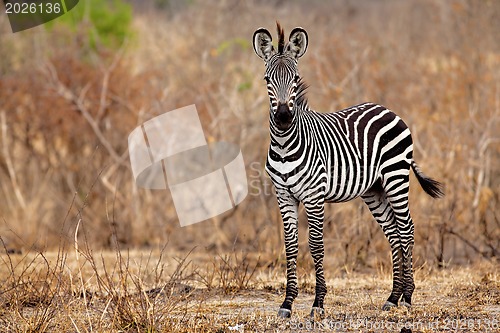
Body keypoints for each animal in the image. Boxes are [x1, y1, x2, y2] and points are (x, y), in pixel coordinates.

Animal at [252, 22, 444, 318]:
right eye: (267, 80)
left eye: (295, 79)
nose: (283, 118)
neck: (285, 145)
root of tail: (387, 109)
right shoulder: (283, 196)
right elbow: (290, 246)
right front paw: (287, 303)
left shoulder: (314, 196)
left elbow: (316, 246)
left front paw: (318, 303)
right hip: (374, 189)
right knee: (393, 233)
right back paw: (393, 297)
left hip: (396, 177)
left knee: (406, 229)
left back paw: (408, 297)